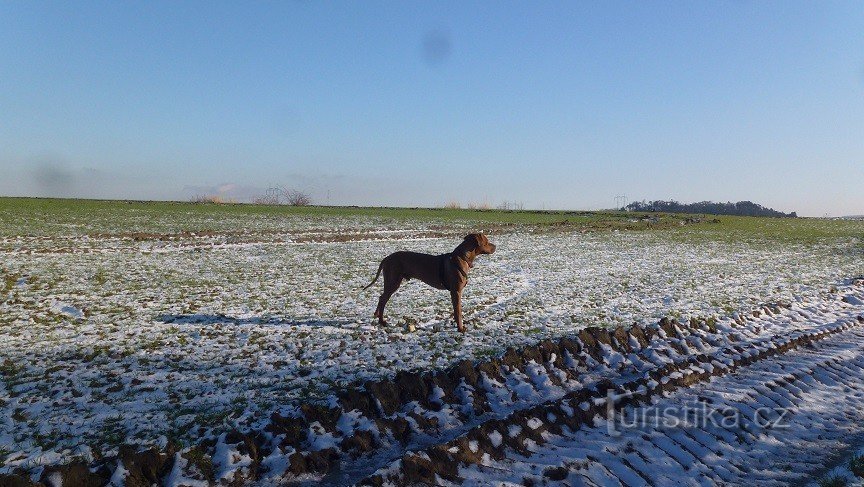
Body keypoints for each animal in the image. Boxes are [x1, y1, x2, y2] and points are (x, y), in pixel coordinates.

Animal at [364, 233, 500, 332]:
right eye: (487, 242)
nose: (495, 246)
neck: (462, 257)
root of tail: (386, 258)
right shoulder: (456, 291)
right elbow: (458, 312)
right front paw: (460, 328)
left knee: (381, 298)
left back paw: (377, 316)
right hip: (393, 281)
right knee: (382, 299)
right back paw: (382, 321)